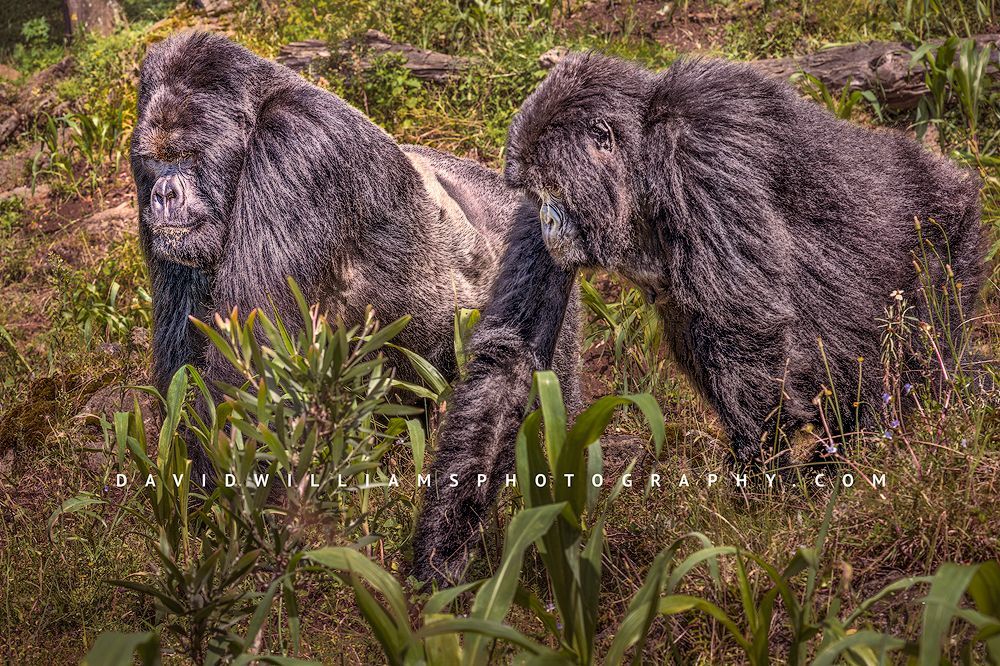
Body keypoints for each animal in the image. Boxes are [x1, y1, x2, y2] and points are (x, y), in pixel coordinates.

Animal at [129, 31, 580, 485]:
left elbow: (249, 374)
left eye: (187, 156)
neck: (256, 114)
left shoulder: (297, 146)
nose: (164, 195)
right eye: (155, 160)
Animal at [411, 51, 988, 583]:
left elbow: (743, 324)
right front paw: (442, 549)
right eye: (532, 193)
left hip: (943, 255)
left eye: (549, 187)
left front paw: (764, 496)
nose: (548, 219)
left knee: (910, 363)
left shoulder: (698, 149)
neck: (641, 159)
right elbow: (512, 358)